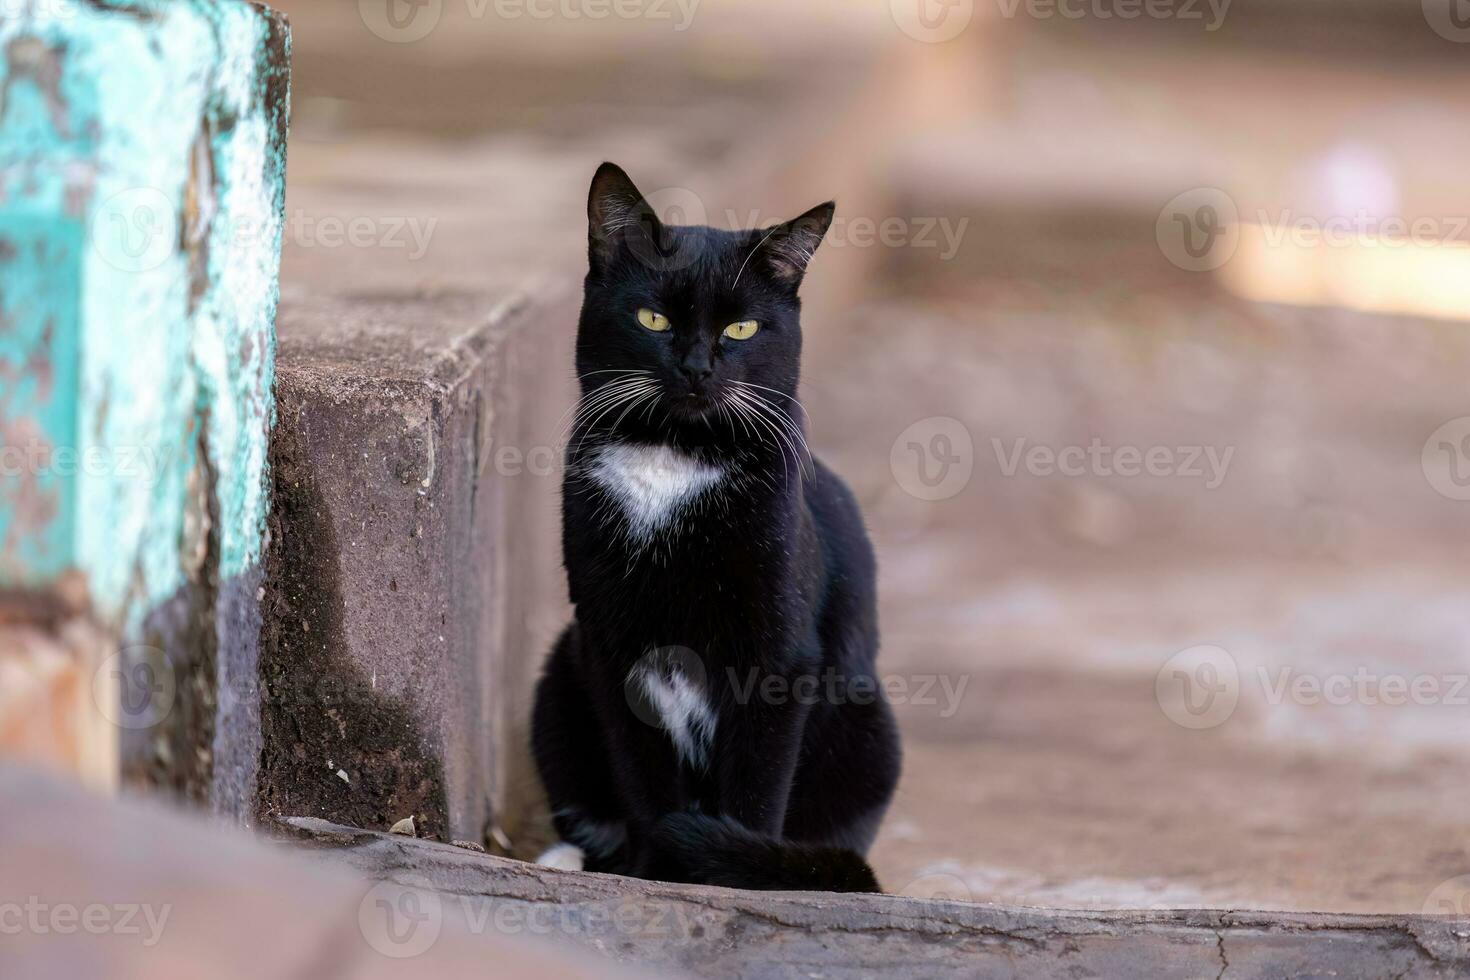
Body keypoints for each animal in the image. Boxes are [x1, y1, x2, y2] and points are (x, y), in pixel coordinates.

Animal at [529, 164, 893, 893]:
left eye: (744, 328)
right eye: (653, 317)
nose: (697, 367)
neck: (674, 458)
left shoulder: (779, 653)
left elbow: (756, 784)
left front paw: (731, 873)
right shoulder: (610, 641)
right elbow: (642, 777)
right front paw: (654, 871)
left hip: (871, 726)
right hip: (557, 677)